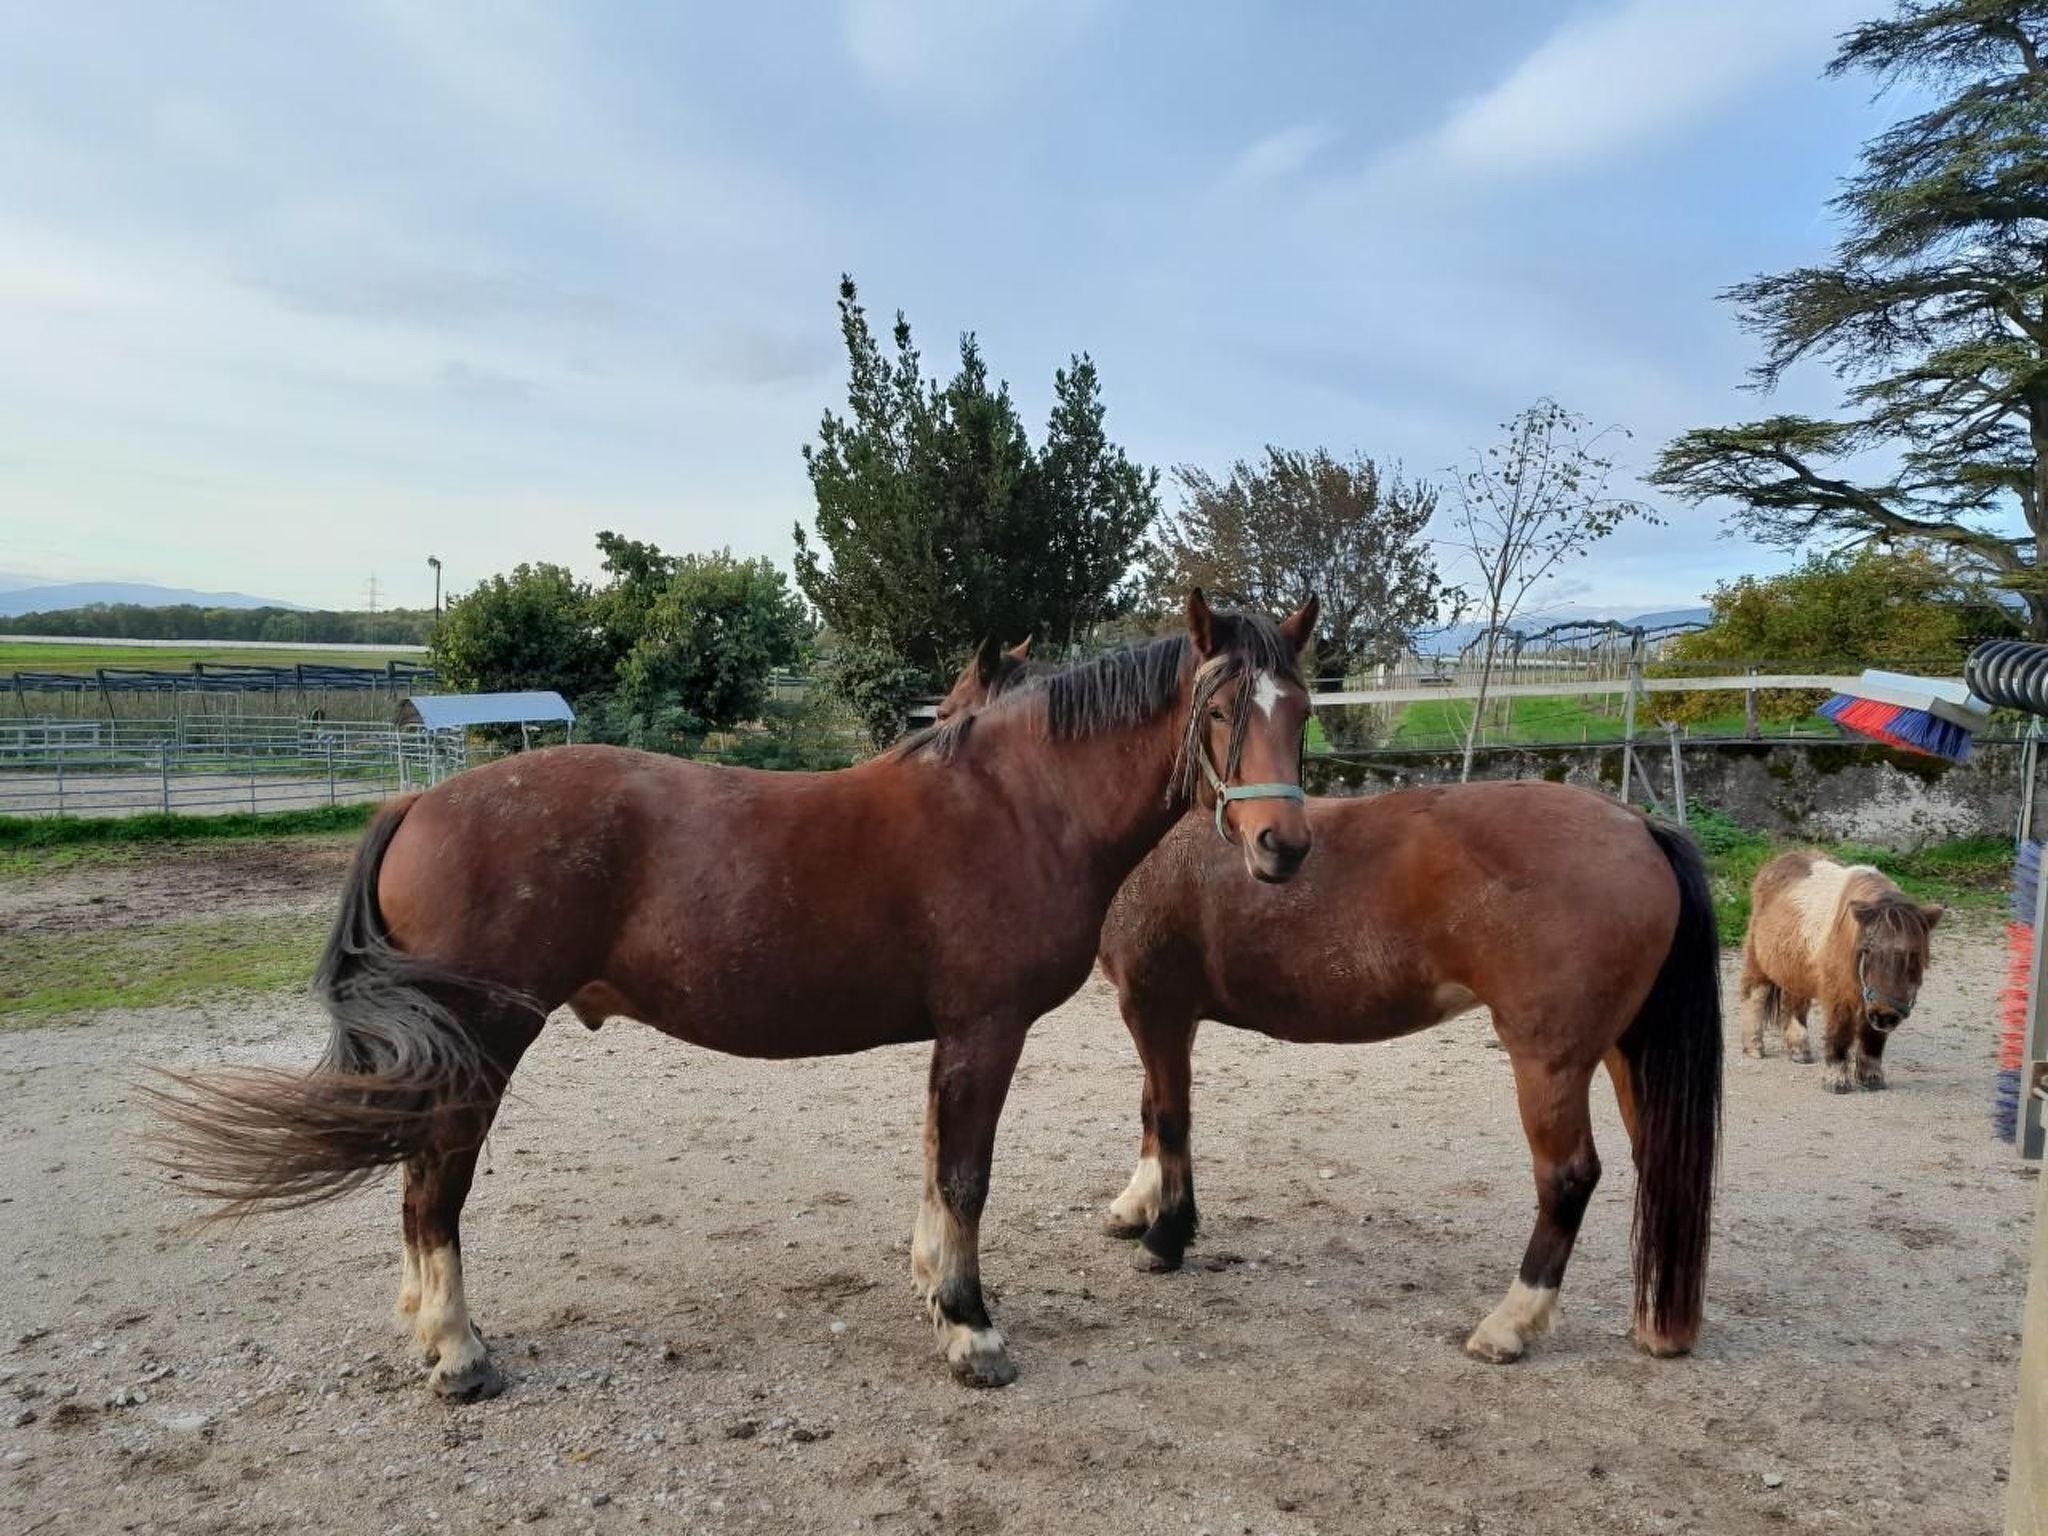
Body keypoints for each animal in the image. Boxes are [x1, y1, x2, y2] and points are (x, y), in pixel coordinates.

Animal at [152, 591, 1319, 1397]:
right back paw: (460, 1353)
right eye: (1220, 709)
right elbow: (966, 1175)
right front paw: (971, 1328)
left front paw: (932, 1289)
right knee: (433, 1189)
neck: (1017, 806)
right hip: (482, 1040)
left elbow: (935, 1166)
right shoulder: (984, 1032)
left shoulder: (951, 1039)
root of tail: (420, 801)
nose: (1283, 847)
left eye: (1302, 709)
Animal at [939, 647, 1723, 1362]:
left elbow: (1169, 1117)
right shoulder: (1165, 1014)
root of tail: (1637, 825)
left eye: (948, 718)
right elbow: (1153, 1111)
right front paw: (1138, 1206)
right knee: (1655, 1161)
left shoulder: (1153, 1006)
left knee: (1568, 1178)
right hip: (1623, 1050)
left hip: (1549, 1060)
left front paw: (1165, 1236)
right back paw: (1657, 1323)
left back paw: (1510, 1323)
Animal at [1739, 851, 1942, 1093]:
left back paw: (1799, 1051)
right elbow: (1840, 1033)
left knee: (1794, 1003)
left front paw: (1871, 1078)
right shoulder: (1840, 994)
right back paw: (1754, 1047)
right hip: (1758, 960)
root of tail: (1777, 861)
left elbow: (1872, 1036)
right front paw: (1836, 1080)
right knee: (1755, 996)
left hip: (1796, 965)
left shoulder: (1871, 999)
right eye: (1867, 949)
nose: (1886, 1016)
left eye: (1915, 954)